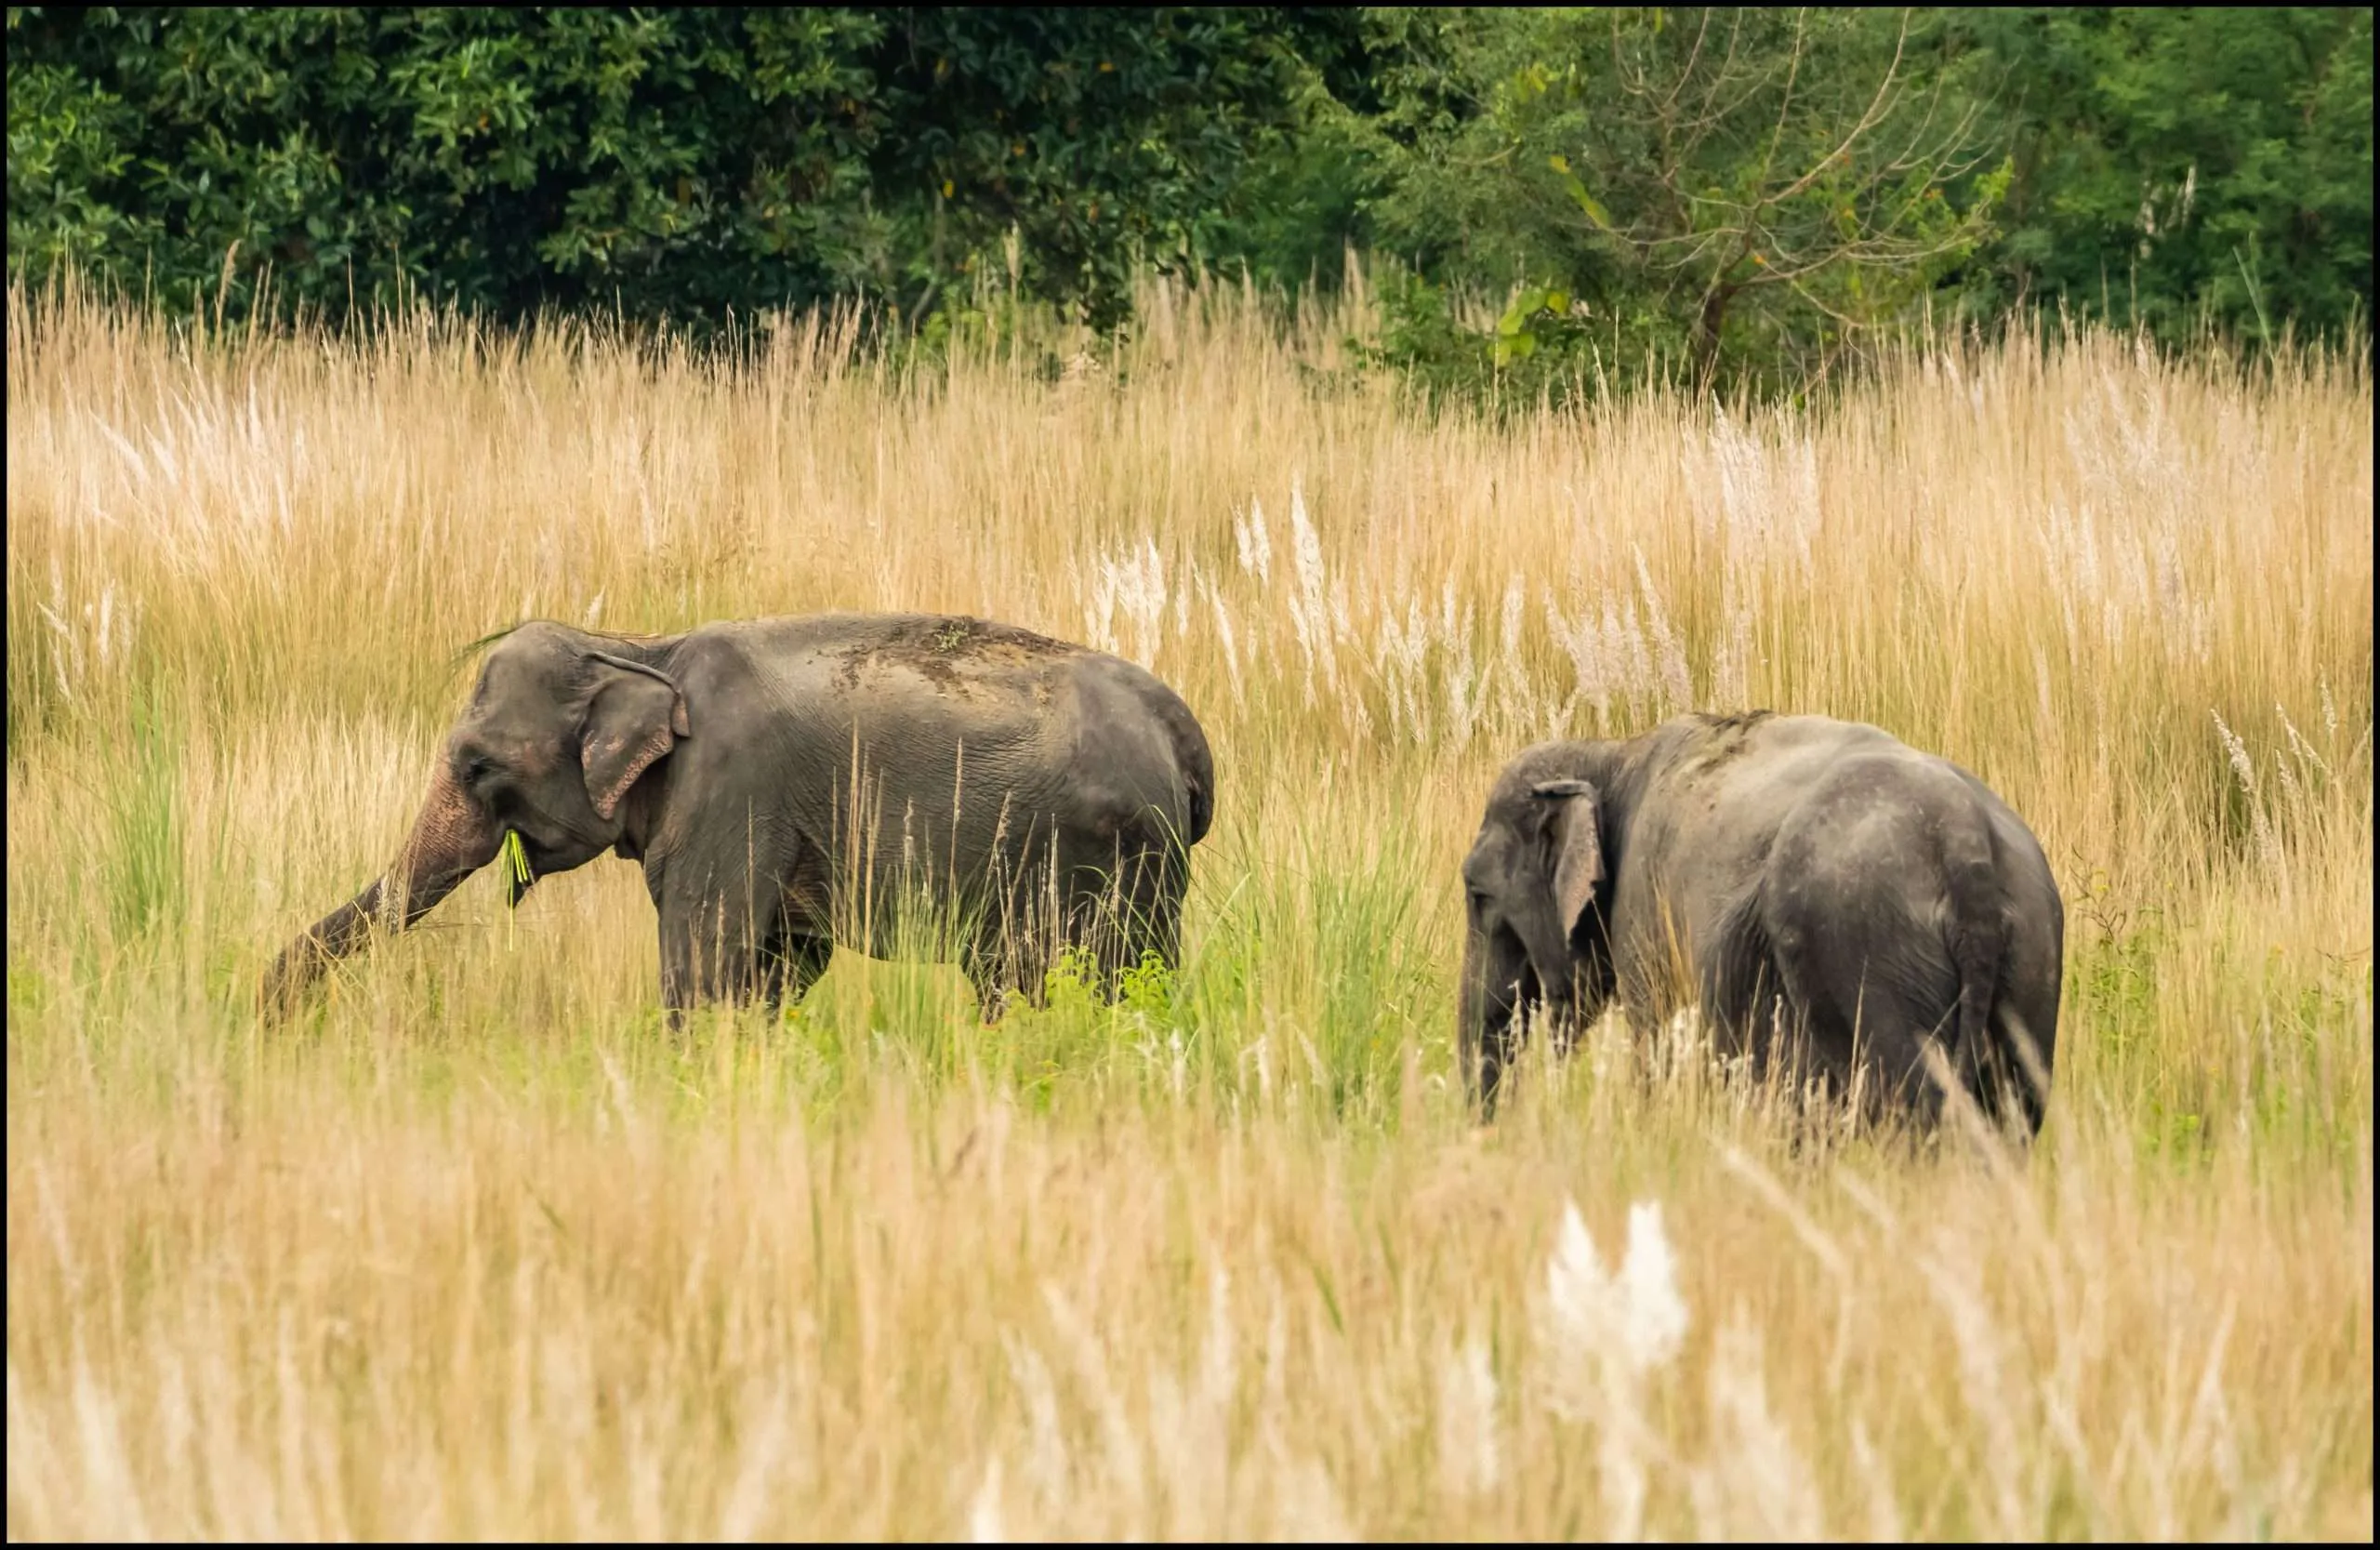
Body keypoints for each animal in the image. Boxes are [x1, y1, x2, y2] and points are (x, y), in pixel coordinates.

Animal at [263, 613, 1214, 1022]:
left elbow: (705, 960)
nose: (264, 1010)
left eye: (477, 767)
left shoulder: (730, 791)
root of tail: (1186, 732)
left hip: (1108, 853)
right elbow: (782, 963)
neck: (642, 645)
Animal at [1457, 711, 2061, 1136]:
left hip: (1871, 951)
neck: (1612, 753)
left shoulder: (1645, 910)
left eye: (1477, 894)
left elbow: (1660, 1043)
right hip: (2031, 957)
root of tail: (1967, 849)